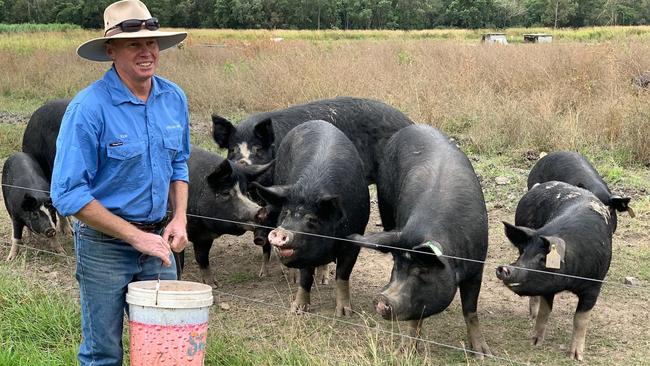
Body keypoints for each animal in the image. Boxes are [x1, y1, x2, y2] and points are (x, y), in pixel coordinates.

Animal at [181, 147, 270, 284]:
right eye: (225, 193)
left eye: (245, 191)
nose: (261, 210)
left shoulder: (204, 236)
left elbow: (202, 257)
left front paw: (213, 284)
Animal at [346, 126, 488, 358]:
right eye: (397, 267)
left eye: (421, 271)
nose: (382, 300)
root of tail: (410, 127)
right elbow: (416, 316)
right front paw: (404, 352)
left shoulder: (477, 267)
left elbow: (470, 310)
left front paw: (482, 353)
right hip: (385, 203)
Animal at [494, 180, 612, 360]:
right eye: (524, 252)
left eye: (543, 259)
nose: (503, 268)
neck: (570, 281)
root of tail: (539, 185)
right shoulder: (547, 286)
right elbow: (544, 312)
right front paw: (535, 342)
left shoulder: (594, 286)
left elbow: (580, 319)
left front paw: (576, 357)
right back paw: (532, 315)